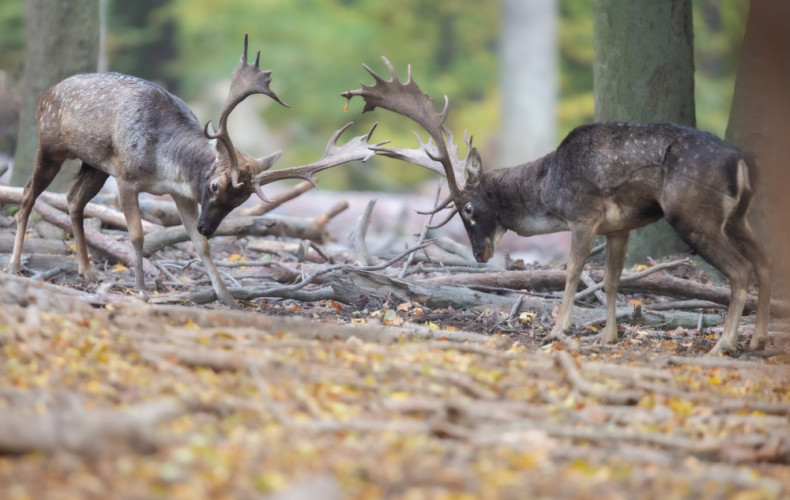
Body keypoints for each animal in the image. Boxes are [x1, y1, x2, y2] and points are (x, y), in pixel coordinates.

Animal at [9, 35, 380, 306]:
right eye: (215, 186)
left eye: (241, 201)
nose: (208, 226)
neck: (162, 164)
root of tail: (43, 95)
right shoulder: (126, 178)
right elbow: (137, 234)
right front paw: (141, 287)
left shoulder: (181, 194)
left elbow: (199, 247)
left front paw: (226, 296)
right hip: (50, 146)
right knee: (27, 195)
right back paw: (14, 265)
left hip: (95, 165)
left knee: (73, 200)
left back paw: (87, 273)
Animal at [342, 57, 772, 356]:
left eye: (468, 209)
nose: (480, 255)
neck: (549, 188)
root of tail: (741, 161)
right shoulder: (619, 225)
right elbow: (612, 280)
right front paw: (607, 336)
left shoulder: (584, 215)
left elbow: (572, 272)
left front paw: (557, 330)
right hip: (737, 217)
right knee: (765, 261)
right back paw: (757, 341)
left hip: (692, 213)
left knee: (740, 269)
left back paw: (725, 344)